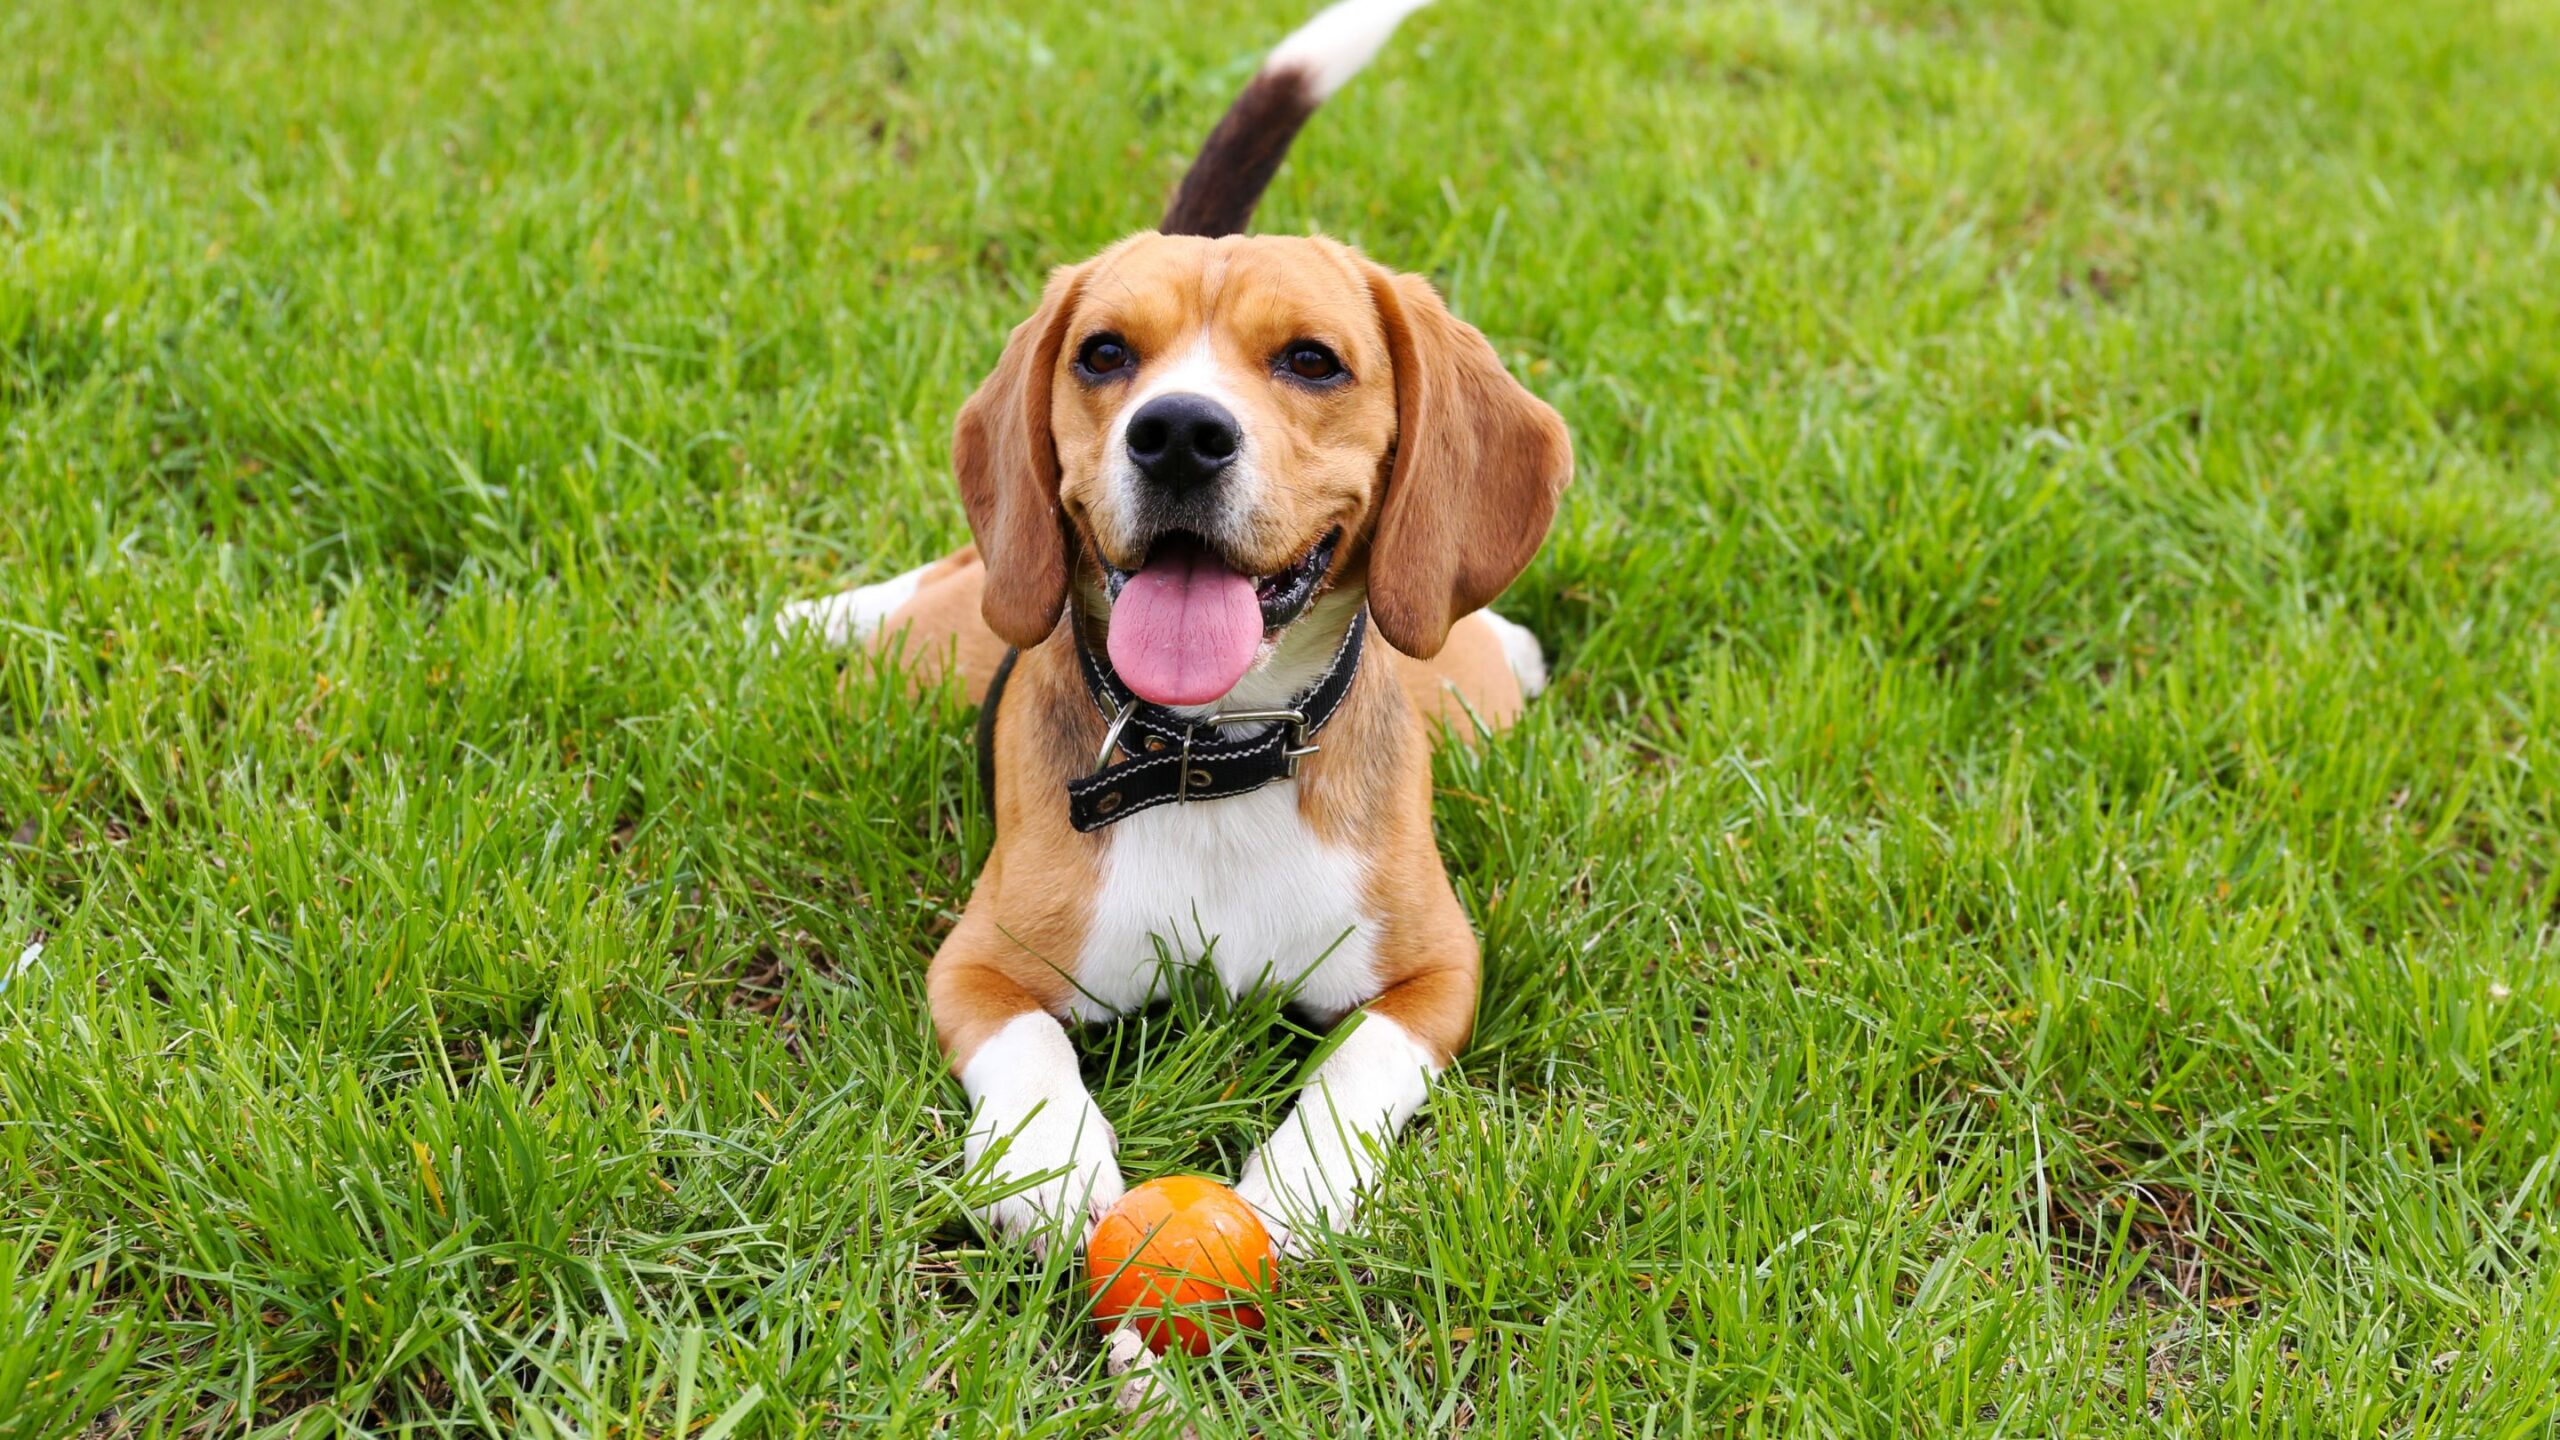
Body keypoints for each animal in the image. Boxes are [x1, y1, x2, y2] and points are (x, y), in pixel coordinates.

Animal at [788, 0, 1566, 1245]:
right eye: (1104, 352)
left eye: (1312, 360)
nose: (1179, 433)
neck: (1215, 757)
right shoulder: (979, 963)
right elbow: (1027, 1044)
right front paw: (1048, 1162)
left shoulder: (1438, 977)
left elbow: (1359, 1070)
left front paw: (1298, 1192)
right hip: (959, 624)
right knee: (946, 581)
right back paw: (810, 617)